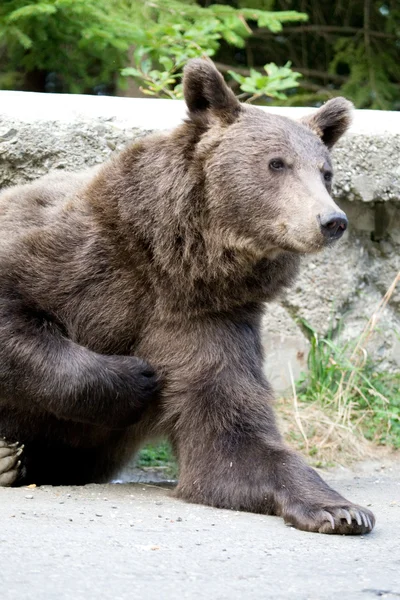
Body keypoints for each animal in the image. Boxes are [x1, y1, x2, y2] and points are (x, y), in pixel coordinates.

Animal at [0, 57, 376, 536]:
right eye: (277, 163)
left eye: (326, 172)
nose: (331, 220)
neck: (177, 262)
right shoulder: (82, 260)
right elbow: (19, 317)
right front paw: (137, 377)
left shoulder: (207, 319)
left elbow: (230, 437)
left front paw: (340, 509)